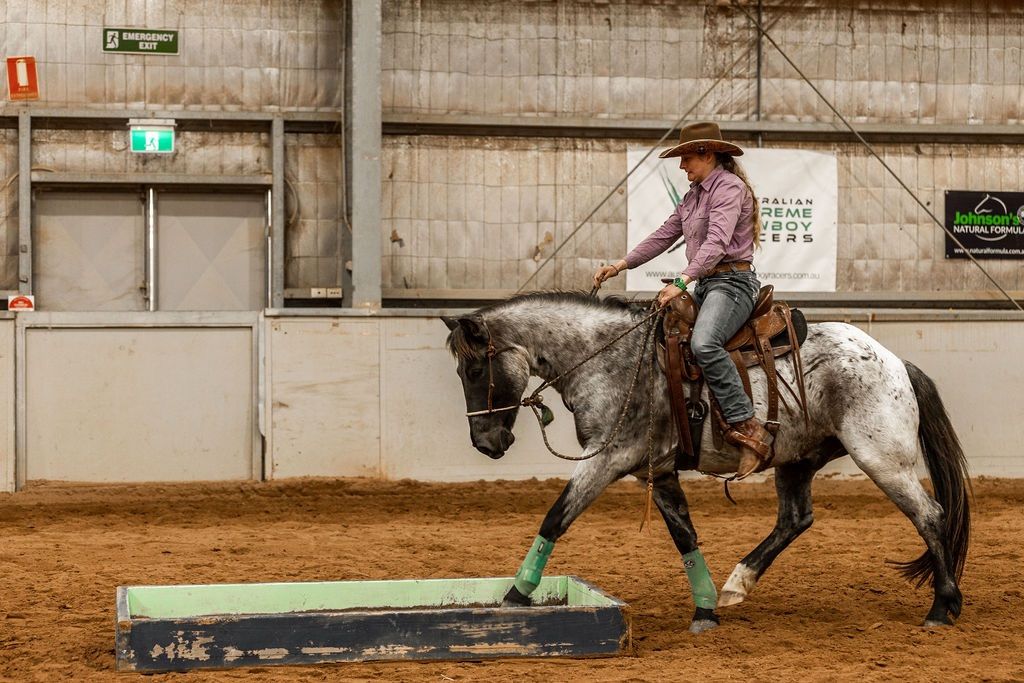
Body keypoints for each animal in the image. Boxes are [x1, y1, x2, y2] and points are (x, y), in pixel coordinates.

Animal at [440, 290, 966, 634]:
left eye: (476, 368)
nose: (485, 443)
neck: (611, 359)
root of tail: (896, 363)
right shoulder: (656, 469)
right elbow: (685, 536)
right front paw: (706, 609)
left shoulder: (608, 458)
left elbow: (555, 518)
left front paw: (515, 595)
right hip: (798, 459)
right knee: (795, 519)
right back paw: (737, 584)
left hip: (881, 458)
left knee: (930, 515)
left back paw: (942, 608)